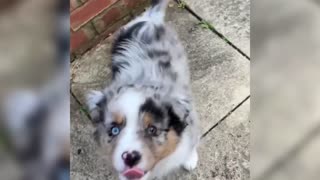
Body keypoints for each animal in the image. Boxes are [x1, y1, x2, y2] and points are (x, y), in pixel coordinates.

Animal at [86, 0, 199, 179]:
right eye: (114, 130)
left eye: (152, 129)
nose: (130, 157)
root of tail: (149, 18)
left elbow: (192, 139)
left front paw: (190, 159)